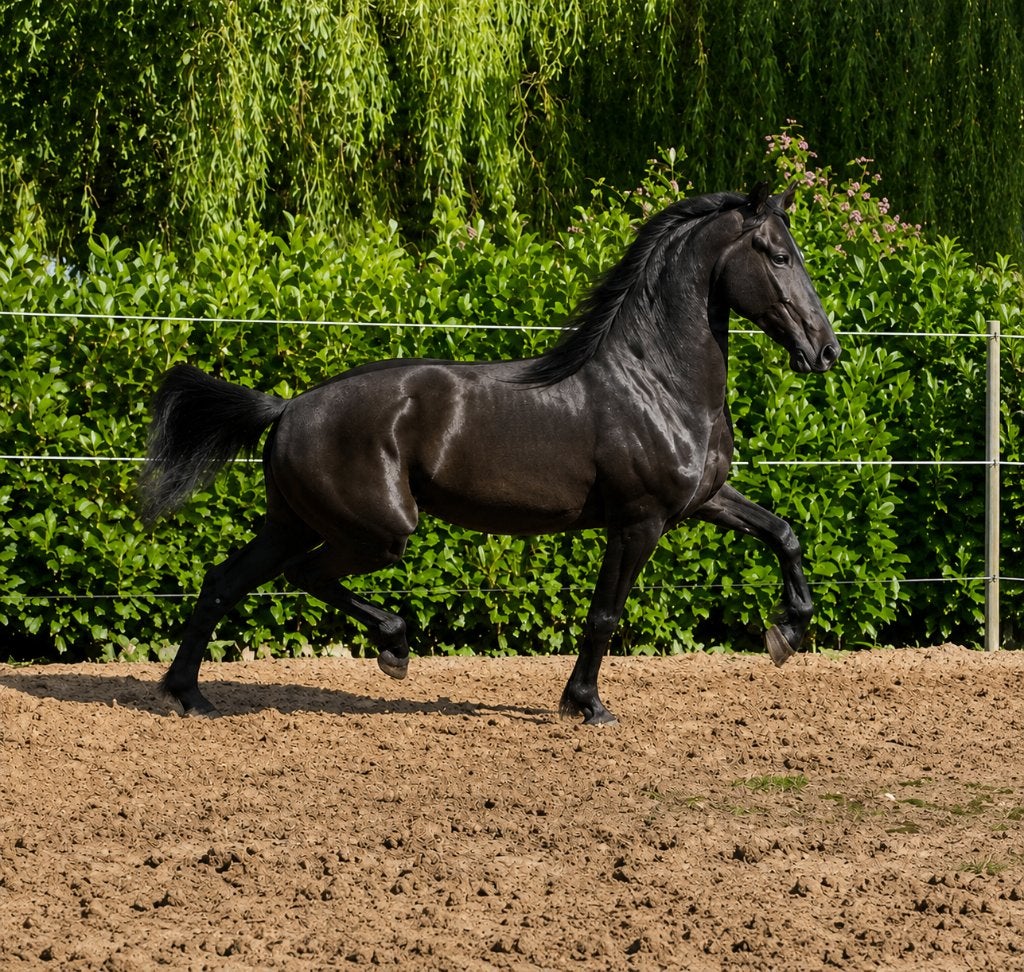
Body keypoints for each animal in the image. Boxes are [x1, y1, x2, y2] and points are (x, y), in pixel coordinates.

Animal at [139, 183, 840, 725]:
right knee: (303, 576)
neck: (656, 381)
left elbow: (784, 533)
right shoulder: (639, 521)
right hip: (379, 532)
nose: (826, 351)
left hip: (294, 522)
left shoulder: (701, 501)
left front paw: (786, 632)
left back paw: (187, 696)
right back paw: (393, 647)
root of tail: (286, 410)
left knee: (223, 582)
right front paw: (585, 705)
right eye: (780, 255)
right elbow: (605, 613)